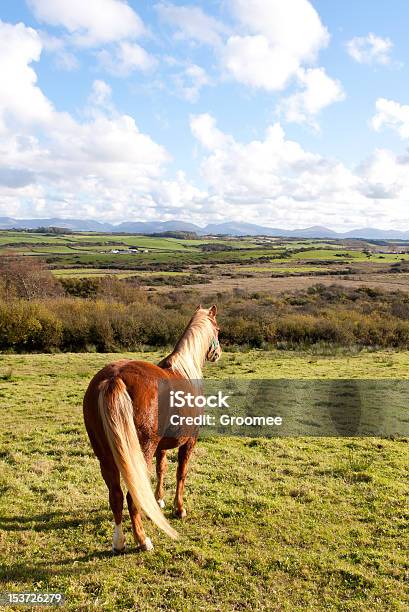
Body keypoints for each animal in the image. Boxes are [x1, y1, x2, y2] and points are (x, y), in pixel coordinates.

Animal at [80, 304, 220, 552]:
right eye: (218, 330)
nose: (218, 353)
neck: (185, 370)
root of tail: (114, 378)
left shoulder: (161, 446)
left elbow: (160, 469)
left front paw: (158, 500)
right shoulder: (189, 442)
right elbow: (181, 473)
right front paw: (179, 508)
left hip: (105, 456)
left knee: (116, 495)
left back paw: (119, 542)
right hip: (140, 452)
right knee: (130, 496)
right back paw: (142, 540)